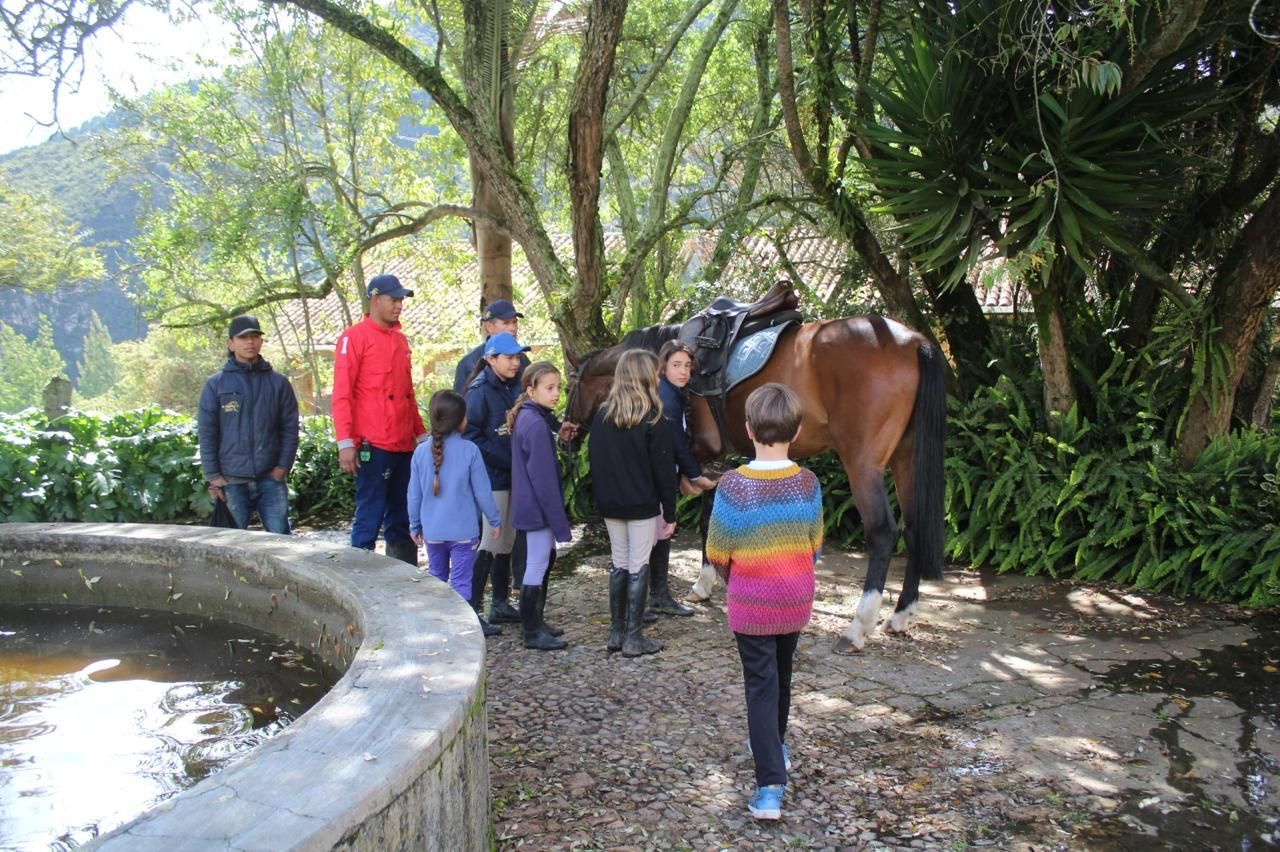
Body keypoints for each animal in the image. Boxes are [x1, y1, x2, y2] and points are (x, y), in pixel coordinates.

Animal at [564, 315, 946, 653]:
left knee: (883, 532)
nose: (565, 432)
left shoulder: (688, 455)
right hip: (905, 459)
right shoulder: (711, 462)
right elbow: (710, 519)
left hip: (863, 464)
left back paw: (856, 628)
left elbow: (673, 524)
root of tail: (913, 342)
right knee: (914, 528)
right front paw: (706, 583)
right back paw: (901, 616)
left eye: (570, 386)